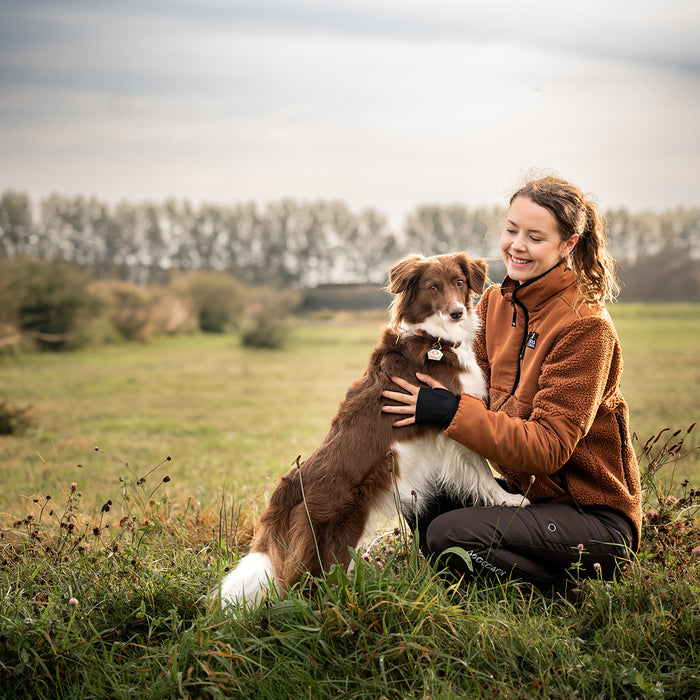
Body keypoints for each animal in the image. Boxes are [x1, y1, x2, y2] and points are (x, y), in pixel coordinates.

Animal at [216, 252, 528, 608]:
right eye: (433, 287)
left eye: (459, 282)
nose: (456, 312)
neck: (434, 340)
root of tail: (290, 486)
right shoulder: (452, 428)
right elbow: (482, 472)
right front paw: (510, 500)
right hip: (335, 539)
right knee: (308, 592)